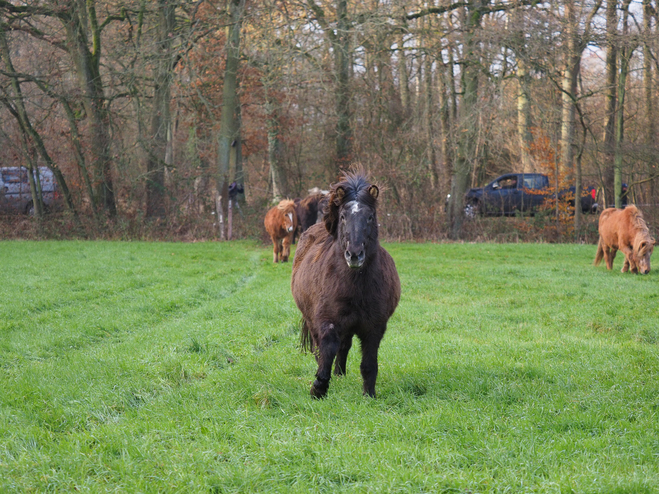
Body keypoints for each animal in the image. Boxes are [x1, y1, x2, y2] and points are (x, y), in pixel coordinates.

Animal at [292, 172, 402, 400]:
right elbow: (326, 351)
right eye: (343, 216)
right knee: (323, 348)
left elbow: (368, 364)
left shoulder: (374, 327)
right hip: (313, 320)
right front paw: (318, 388)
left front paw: (369, 395)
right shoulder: (328, 322)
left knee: (344, 346)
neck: (355, 285)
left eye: (370, 217)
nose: (354, 255)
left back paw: (340, 374)